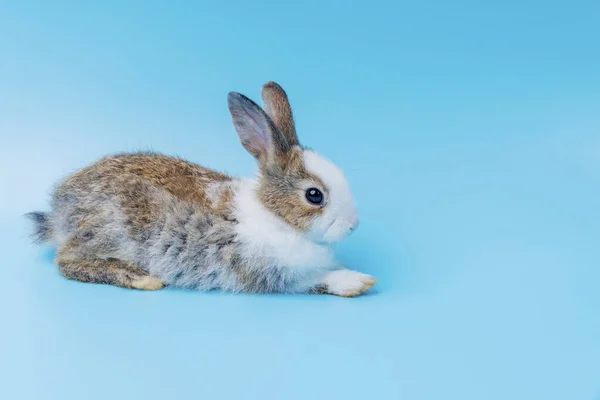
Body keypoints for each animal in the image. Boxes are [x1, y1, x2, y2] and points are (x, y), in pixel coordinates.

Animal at [28, 81, 378, 296]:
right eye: (314, 195)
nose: (353, 225)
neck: (275, 216)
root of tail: (59, 212)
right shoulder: (269, 272)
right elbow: (314, 279)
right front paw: (357, 281)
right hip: (112, 231)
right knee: (67, 260)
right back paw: (144, 279)